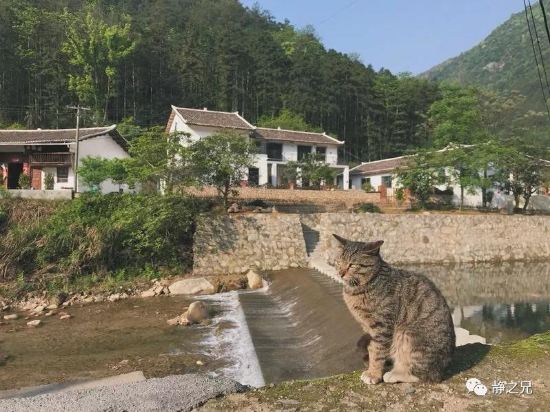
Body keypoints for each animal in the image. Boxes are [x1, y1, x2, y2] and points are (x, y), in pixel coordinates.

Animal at [332, 233, 458, 384]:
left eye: (352, 265)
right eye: (339, 261)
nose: (340, 273)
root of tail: (444, 368)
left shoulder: (382, 327)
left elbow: (377, 352)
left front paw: (373, 374)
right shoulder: (368, 329)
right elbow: (371, 349)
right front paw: (370, 368)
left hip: (408, 336)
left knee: (425, 375)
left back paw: (395, 374)